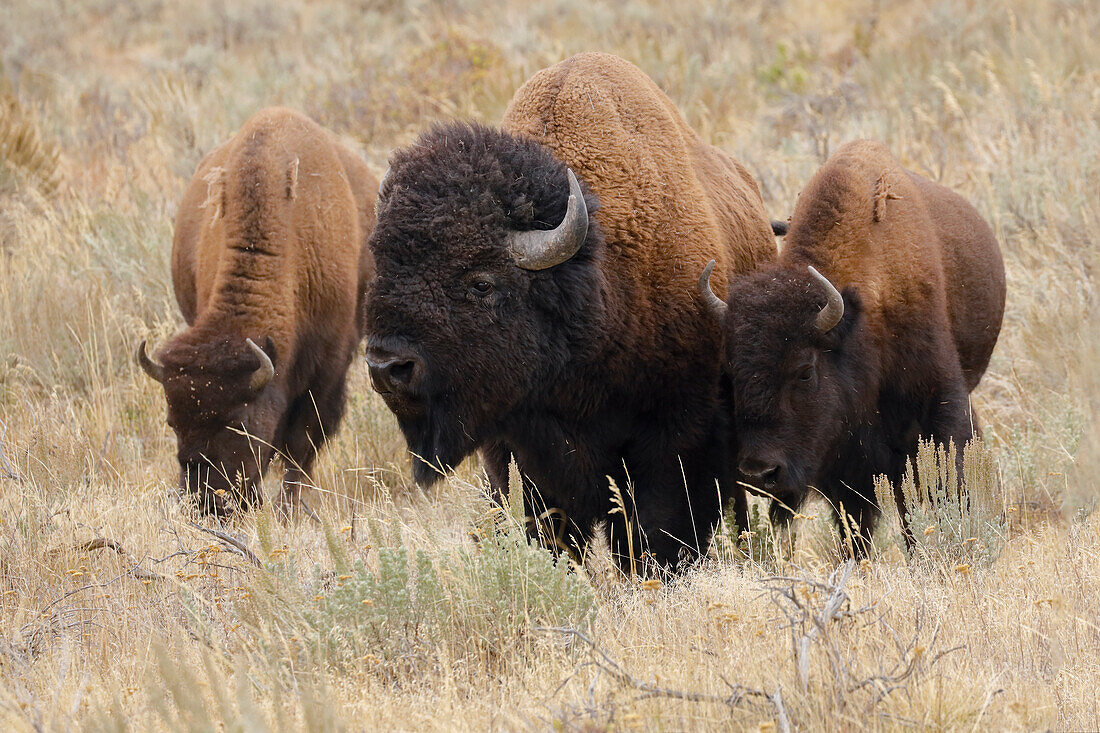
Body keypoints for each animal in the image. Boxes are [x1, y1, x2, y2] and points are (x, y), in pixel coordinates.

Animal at [137, 107, 380, 512]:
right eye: (172, 422)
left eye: (239, 423)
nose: (209, 502)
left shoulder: (328, 367)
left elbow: (302, 442)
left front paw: (289, 510)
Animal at [365, 52, 778, 572]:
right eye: (380, 266)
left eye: (481, 282)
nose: (387, 366)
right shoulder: (519, 452)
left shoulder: (679, 437)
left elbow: (659, 533)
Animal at [704, 137, 1007, 554]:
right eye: (731, 373)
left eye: (805, 371)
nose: (758, 473)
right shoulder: (844, 460)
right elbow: (856, 519)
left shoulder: (939, 405)